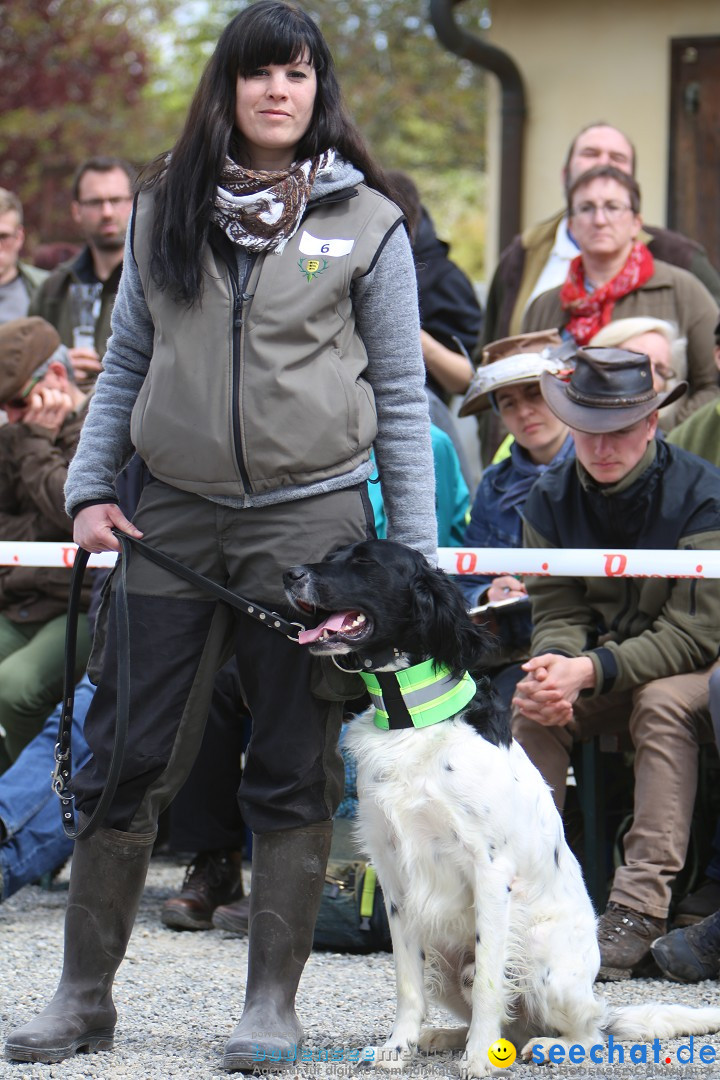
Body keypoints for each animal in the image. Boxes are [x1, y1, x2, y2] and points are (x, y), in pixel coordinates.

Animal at [284, 544, 720, 1075]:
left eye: (366, 562)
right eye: (333, 554)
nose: (289, 574)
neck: (414, 719)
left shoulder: (490, 872)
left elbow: (492, 984)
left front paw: (479, 1059)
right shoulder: (394, 879)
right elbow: (408, 984)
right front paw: (399, 1045)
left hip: (545, 962)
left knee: (587, 1033)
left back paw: (547, 1047)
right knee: (514, 1023)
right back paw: (439, 1036)